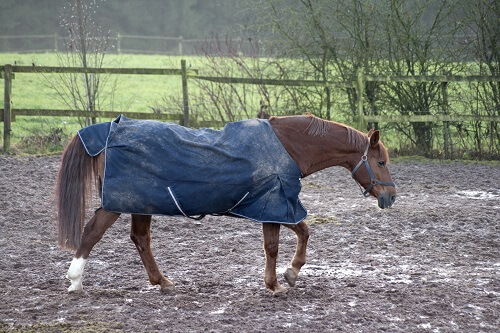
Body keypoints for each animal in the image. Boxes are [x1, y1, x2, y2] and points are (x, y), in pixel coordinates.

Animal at [54, 113, 396, 294]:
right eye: (380, 162)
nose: (390, 197)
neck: (290, 147)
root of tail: (110, 129)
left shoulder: (277, 206)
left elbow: (302, 232)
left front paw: (289, 273)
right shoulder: (274, 205)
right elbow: (277, 245)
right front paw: (279, 282)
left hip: (142, 204)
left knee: (140, 239)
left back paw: (162, 282)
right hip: (120, 202)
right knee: (92, 232)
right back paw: (75, 280)